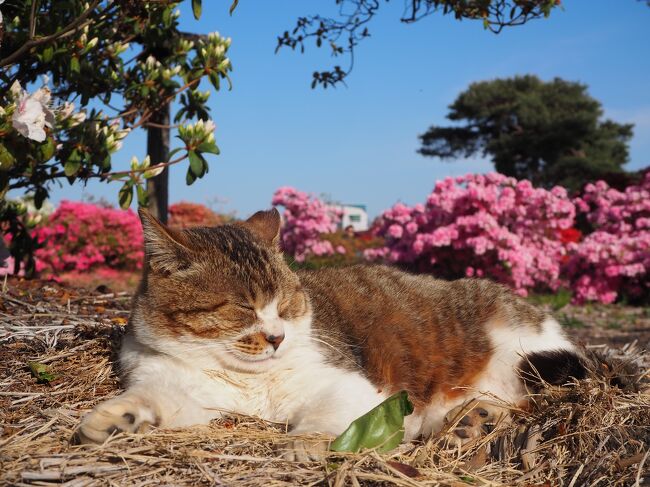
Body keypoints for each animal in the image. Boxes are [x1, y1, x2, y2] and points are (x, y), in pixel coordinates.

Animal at [73, 209, 584, 458]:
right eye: (244, 308)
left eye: (286, 304)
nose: (276, 337)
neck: (243, 377)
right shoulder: (175, 388)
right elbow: (150, 400)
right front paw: (112, 419)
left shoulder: (351, 386)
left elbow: (323, 419)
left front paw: (304, 443)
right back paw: (472, 421)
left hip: (527, 352)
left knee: (531, 397)